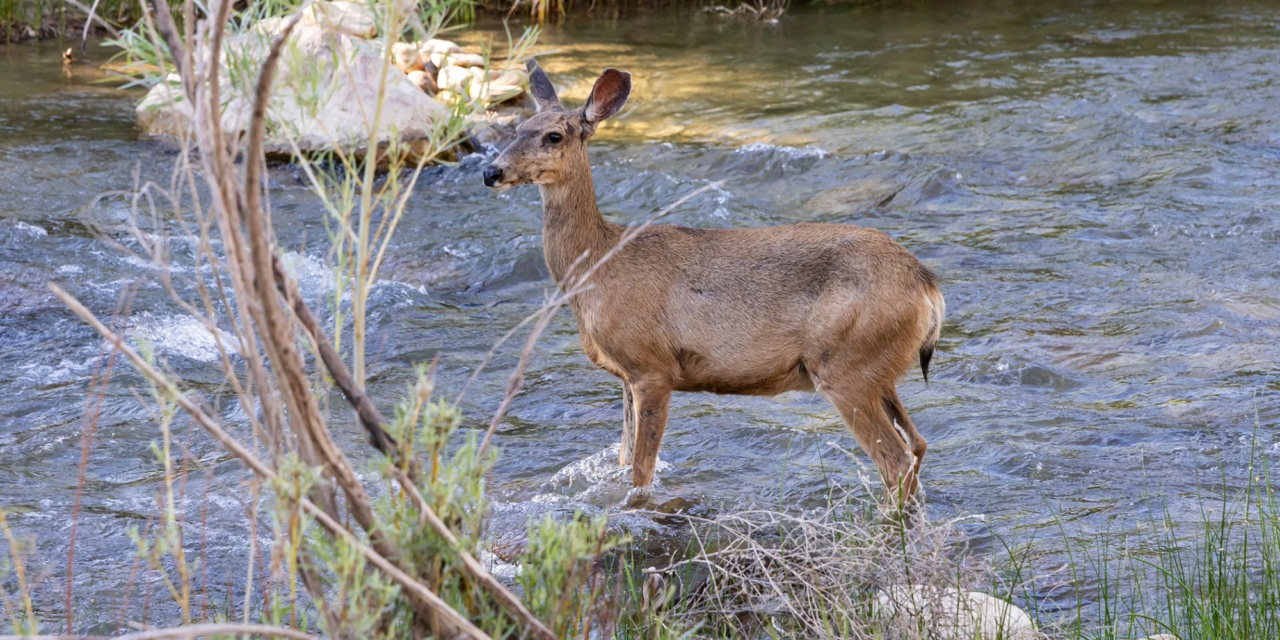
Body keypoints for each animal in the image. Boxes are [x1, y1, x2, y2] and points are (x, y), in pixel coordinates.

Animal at [482, 60, 945, 501]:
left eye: (554, 136)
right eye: (518, 129)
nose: (491, 172)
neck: (598, 266)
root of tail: (927, 285)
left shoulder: (652, 366)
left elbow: (641, 471)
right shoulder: (625, 376)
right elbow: (622, 458)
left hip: (845, 363)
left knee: (896, 461)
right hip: (877, 368)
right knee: (918, 444)